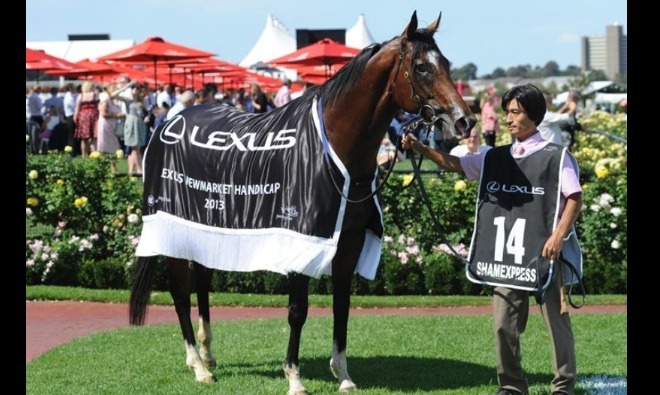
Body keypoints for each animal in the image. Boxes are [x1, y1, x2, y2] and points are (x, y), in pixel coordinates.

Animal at [127, 10, 474, 394]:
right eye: (422, 67)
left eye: (446, 63)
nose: (464, 120)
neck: (334, 148)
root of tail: (168, 123)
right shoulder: (300, 239)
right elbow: (298, 310)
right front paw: (294, 377)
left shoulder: (349, 242)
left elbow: (342, 305)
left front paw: (344, 375)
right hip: (170, 225)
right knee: (179, 291)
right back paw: (199, 367)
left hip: (206, 225)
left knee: (201, 281)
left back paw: (206, 354)